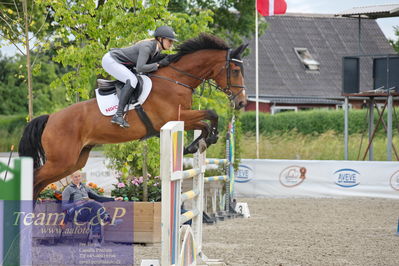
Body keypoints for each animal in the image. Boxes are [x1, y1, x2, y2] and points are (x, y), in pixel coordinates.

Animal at [20, 33, 248, 200]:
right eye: (236, 70)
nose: (242, 103)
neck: (176, 79)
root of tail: (50, 118)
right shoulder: (174, 117)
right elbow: (211, 115)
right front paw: (207, 140)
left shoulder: (181, 118)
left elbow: (206, 122)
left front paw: (197, 144)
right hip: (61, 160)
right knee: (35, 177)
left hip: (74, 161)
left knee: (41, 182)